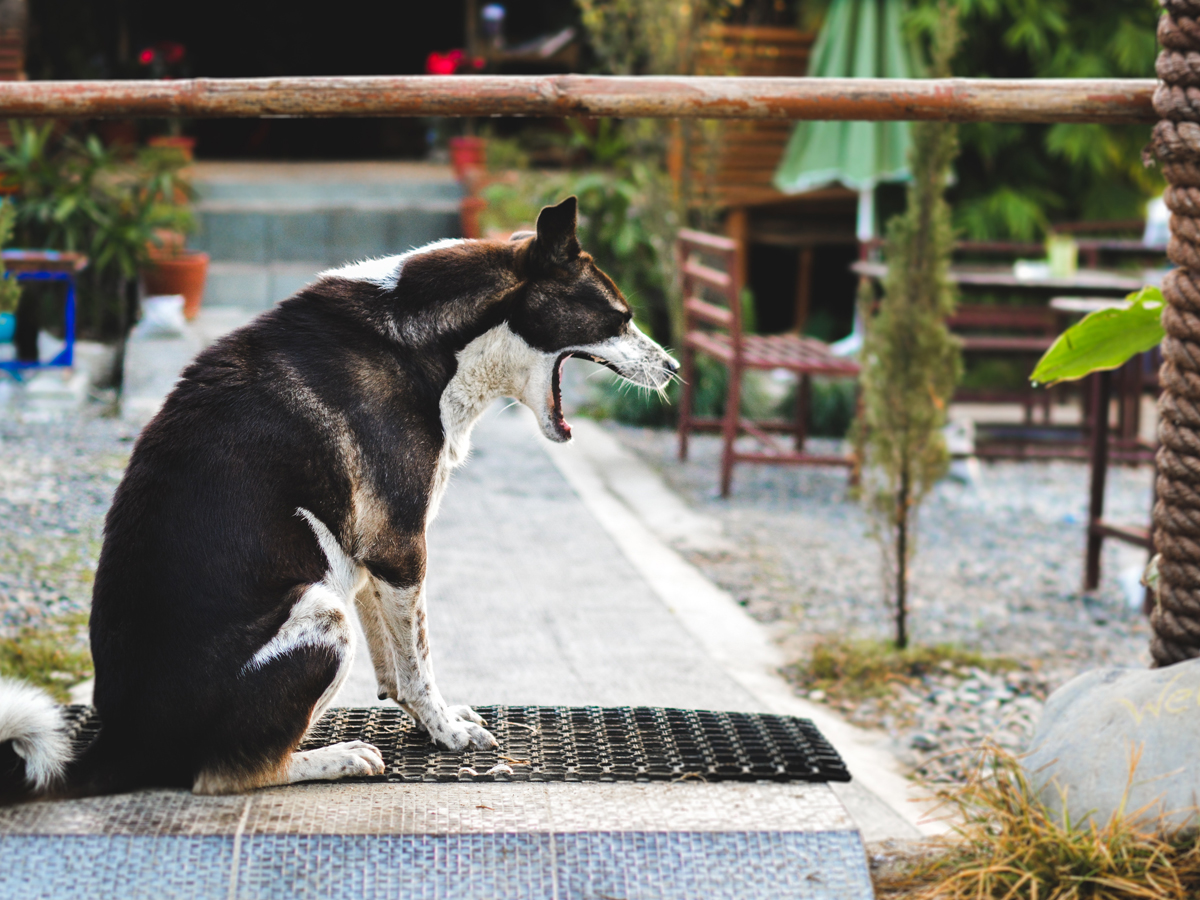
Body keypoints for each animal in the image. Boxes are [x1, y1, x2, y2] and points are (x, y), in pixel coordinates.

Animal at [0, 199, 676, 801]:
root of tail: (121, 745)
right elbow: (420, 662)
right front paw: (448, 734)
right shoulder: (402, 546)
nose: (672, 368)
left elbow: (397, 667)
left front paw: (432, 723)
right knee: (230, 772)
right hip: (323, 611)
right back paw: (339, 757)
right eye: (619, 316)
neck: (433, 340)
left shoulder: (374, 555)